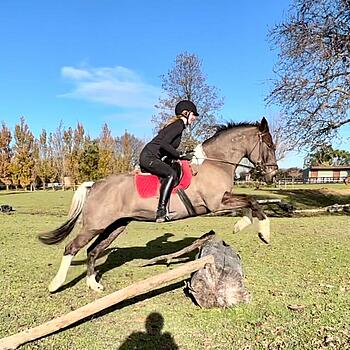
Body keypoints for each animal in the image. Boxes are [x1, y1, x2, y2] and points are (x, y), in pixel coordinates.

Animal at [39, 117, 278, 292]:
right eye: (269, 145)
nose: (273, 174)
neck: (214, 163)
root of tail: (94, 185)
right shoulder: (216, 203)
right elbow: (252, 201)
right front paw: (264, 233)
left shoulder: (222, 200)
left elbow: (249, 202)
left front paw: (241, 225)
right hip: (95, 225)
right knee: (72, 248)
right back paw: (56, 284)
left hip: (115, 226)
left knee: (92, 251)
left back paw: (93, 284)